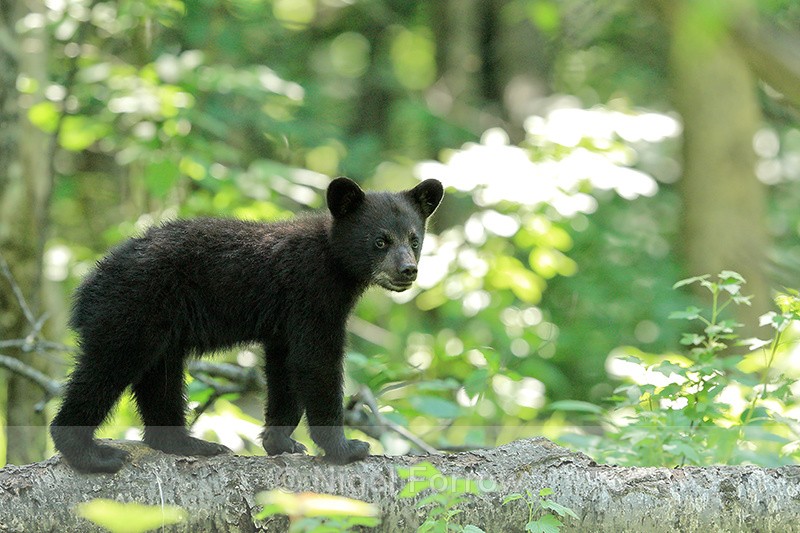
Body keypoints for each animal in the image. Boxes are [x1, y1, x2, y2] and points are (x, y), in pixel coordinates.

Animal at [50, 177, 444, 473]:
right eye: (380, 240)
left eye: (414, 239)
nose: (408, 270)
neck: (332, 260)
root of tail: (88, 287)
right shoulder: (311, 294)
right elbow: (316, 362)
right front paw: (346, 448)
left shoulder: (284, 324)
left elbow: (285, 370)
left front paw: (280, 441)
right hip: (131, 313)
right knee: (105, 370)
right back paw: (89, 454)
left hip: (161, 329)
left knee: (160, 380)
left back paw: (190, 443)